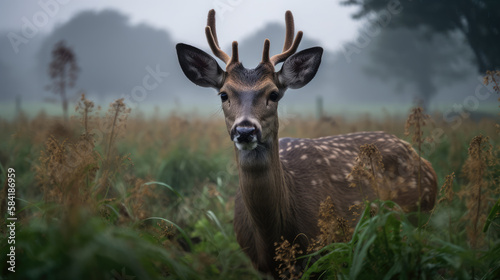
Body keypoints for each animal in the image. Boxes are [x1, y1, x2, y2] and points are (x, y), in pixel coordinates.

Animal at [177, 8, 438, 278]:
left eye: (273, 94)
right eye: (223, 94)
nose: (245, 130)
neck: (273, 236)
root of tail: (422, 159)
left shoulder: (324, 250)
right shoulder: (260, 265)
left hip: (419, 213)